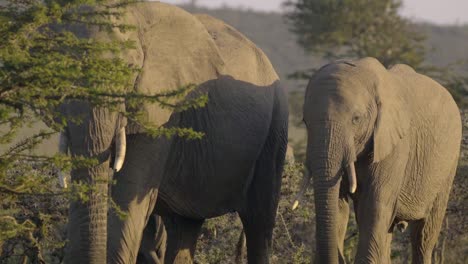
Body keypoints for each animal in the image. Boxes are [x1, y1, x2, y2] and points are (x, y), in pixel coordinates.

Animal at [56, 2, 288, 264]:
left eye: (129, 70)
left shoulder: (164, 111)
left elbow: (129, 196)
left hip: (275, 127)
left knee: (259, 221)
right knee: (184, 226)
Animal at [294, 56, 462, 262]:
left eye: (356, 119)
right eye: (305, 121)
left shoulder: (396, 145)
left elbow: (374, 206)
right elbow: (338, 206)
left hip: (448, 166)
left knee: (423, 237)